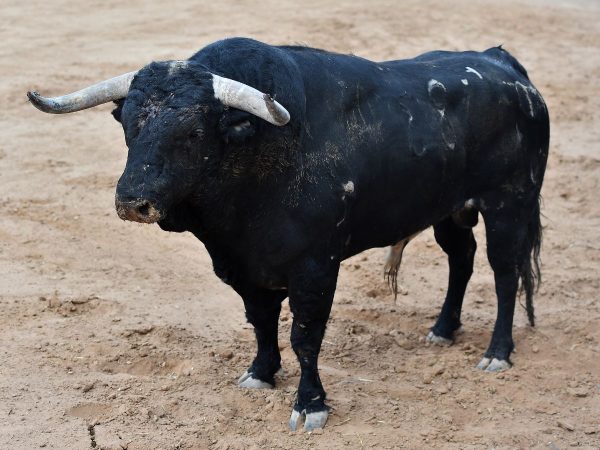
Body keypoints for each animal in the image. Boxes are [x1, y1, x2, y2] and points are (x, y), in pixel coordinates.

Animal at [30, 38, 552, 432]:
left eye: (193, 132)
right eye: (129, 124)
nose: (132, 202)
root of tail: (503, 64)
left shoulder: (315, 268)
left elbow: (305, 336)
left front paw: (310, 404)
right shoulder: (241, 265)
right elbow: (261, 323)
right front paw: (260, 374)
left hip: (509, 202)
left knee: (505, 273)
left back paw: (497, 353)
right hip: (451, 208)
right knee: (461, 257)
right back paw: (443, 329)